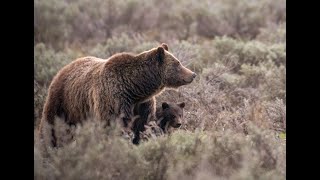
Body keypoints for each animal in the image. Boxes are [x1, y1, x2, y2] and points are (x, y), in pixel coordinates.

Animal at [38, 43, 196, 148]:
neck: (135, 89)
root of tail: (65, 67)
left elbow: (142, 127)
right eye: (178, 63)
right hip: (63, 101)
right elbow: (114, 125)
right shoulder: (114, 100)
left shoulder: (143, 105)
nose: (193, 74)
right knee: (51, 126)